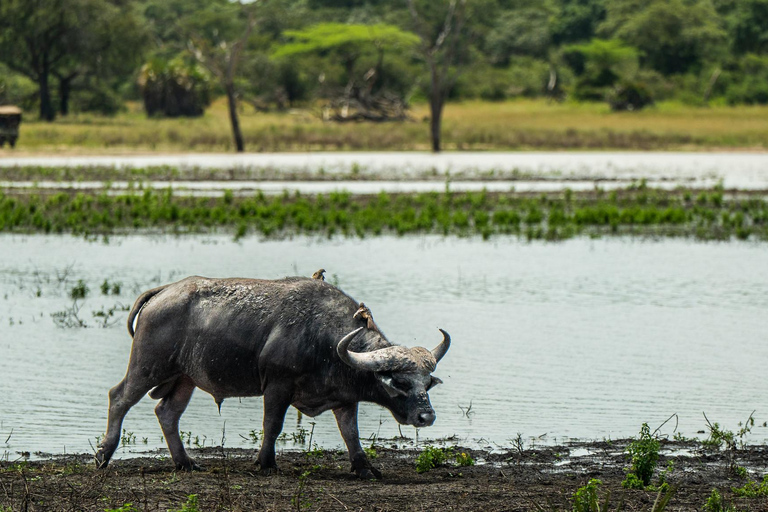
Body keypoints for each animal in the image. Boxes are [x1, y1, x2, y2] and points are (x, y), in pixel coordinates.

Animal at [94, 274, 450, 478]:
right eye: (400, 383)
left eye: (426, 384)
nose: (427, 416)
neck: (325, 339)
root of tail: (163, 291)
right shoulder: (278, 386)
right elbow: (273, 425)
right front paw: (266, 463)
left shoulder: (344, 398)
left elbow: (351, 434)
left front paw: (365, 467)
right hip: (148, 365)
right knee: (119, 397)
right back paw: (103, 454)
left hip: (185, 378)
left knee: (167, 412)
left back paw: (185, 462)